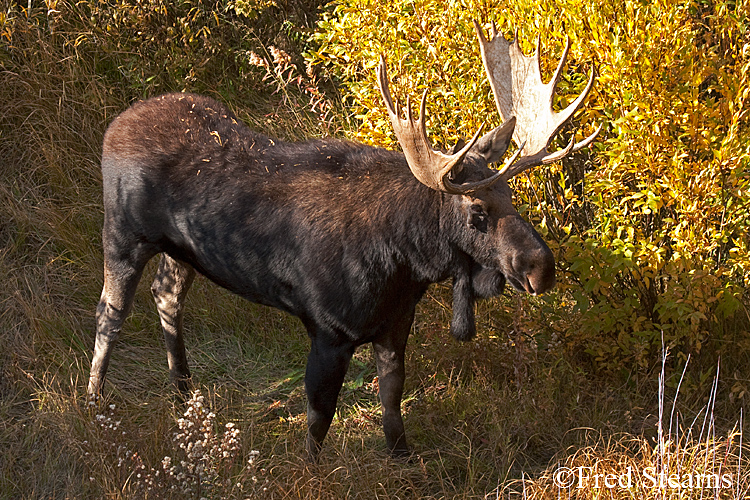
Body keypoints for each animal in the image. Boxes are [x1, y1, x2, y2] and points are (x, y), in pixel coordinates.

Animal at [88, 23, 604, 460]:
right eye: (476, 210)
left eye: (511, 195)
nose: (541, 266)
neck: (405, 264)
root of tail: (114, 124)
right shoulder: (329, 330)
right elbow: (319, 419)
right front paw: (312, 470)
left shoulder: (395, 322)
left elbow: (392, 397)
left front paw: (402, 455)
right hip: (122, 235)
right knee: (109, 313)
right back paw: (94, 400)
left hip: (182, 252)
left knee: (166, 297)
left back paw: (184, 394)